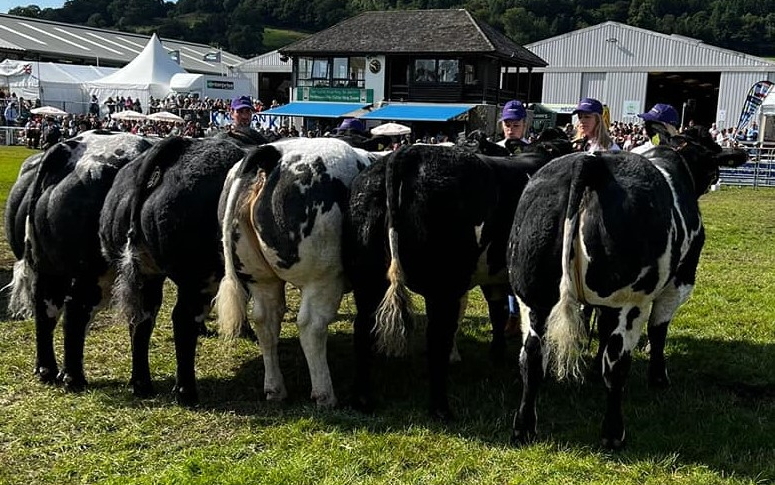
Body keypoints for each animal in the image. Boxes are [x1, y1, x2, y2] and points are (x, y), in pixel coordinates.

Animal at [4, 130, 155, 388]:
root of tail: (68, 147)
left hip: (49, 269)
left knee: (46, 309)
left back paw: (47, 370)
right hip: (97, 273)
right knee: (79, 312)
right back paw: (80, 378)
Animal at [98, 134, 247, 402]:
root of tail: (178, 148)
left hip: (146, 275)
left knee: (141, 319)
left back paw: (142, 384)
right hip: (200, 276)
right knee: (182, 319)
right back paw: (186, 392)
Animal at [215, 137, 378, 408]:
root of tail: (272, 155)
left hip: (259, 278)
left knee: (266, 321)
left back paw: (275, 389)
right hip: (322, 277)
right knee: (312, 326)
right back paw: (324, 395)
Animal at [346, 136, 568, 416]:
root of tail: (406, 154)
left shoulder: (492, 277)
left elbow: (497, 313)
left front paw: (496, 355)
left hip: (368, 277)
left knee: (363, 327)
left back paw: (362, 399)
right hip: (443, 285)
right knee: (436, 337)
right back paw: (441, 407)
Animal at [510, 125, 752, 446]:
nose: (716, 179)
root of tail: (590, 162)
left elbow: (596, 327)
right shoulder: (679, 282)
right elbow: (658, 330)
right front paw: (659, 378)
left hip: (533, 297)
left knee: (532, 357)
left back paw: (524, 428)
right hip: (628, 301)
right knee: (616, 366)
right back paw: (614, 434)